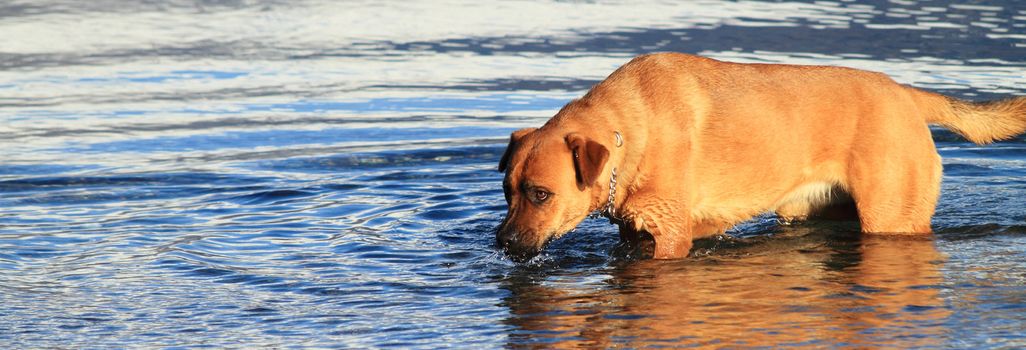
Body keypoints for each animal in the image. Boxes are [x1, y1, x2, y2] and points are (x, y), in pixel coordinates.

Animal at [496, 51, 1026, 258]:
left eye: (540, 194)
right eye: (506, 192)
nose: (502, 243)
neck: (628, 129)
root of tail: (908, 94)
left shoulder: (669, 237)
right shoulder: (635, 233)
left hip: (891, 217)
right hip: (818, 211)